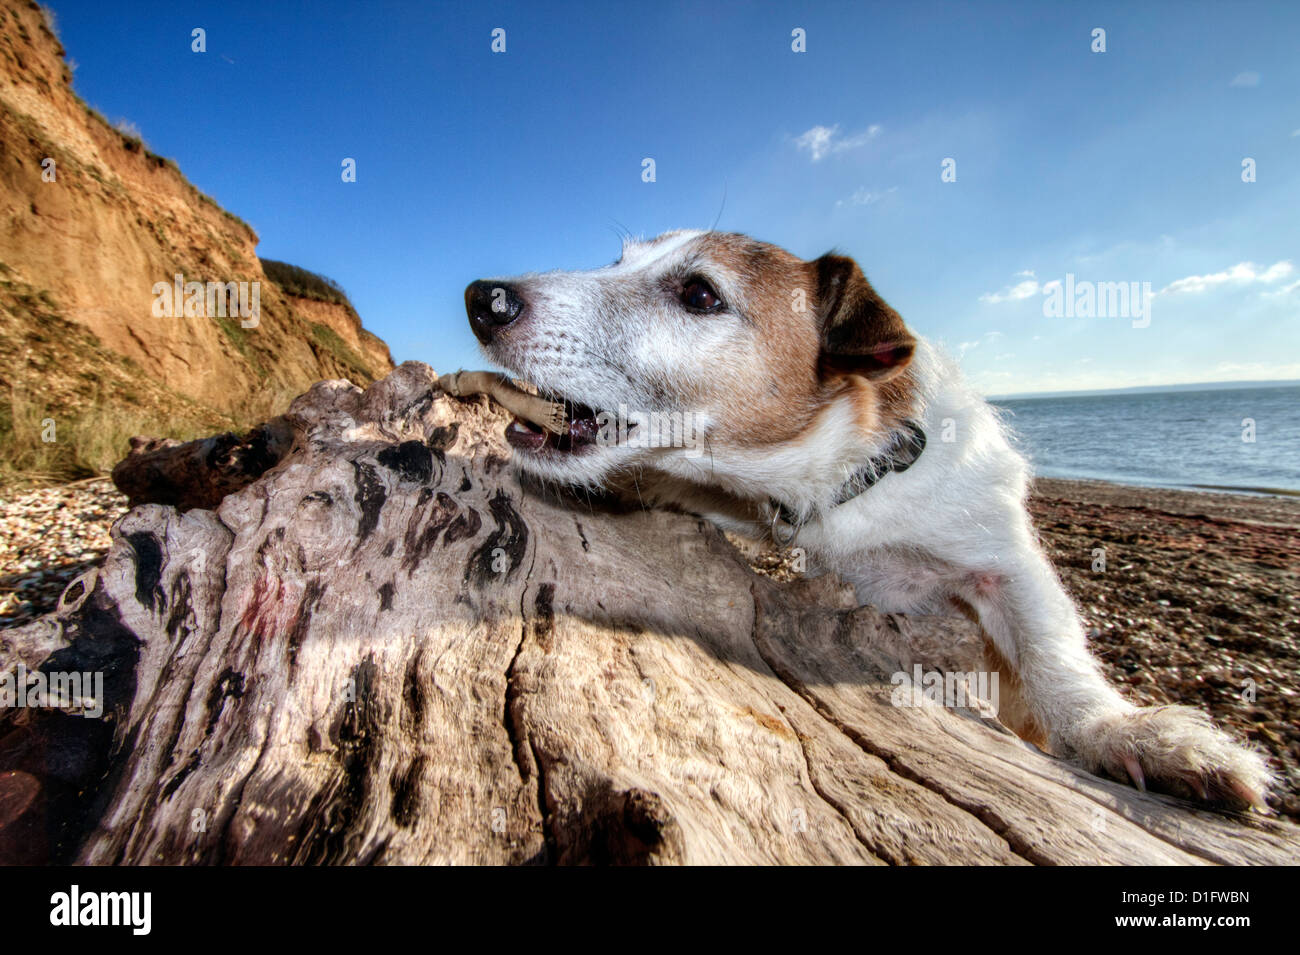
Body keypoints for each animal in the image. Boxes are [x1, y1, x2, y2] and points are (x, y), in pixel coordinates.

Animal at [465, 229, 1268, 805]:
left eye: (699, 293)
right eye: (618, 259)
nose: (482, 296)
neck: (852, 478)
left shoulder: (1000, 558)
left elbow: (1053, 654)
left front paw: (1132, 735)